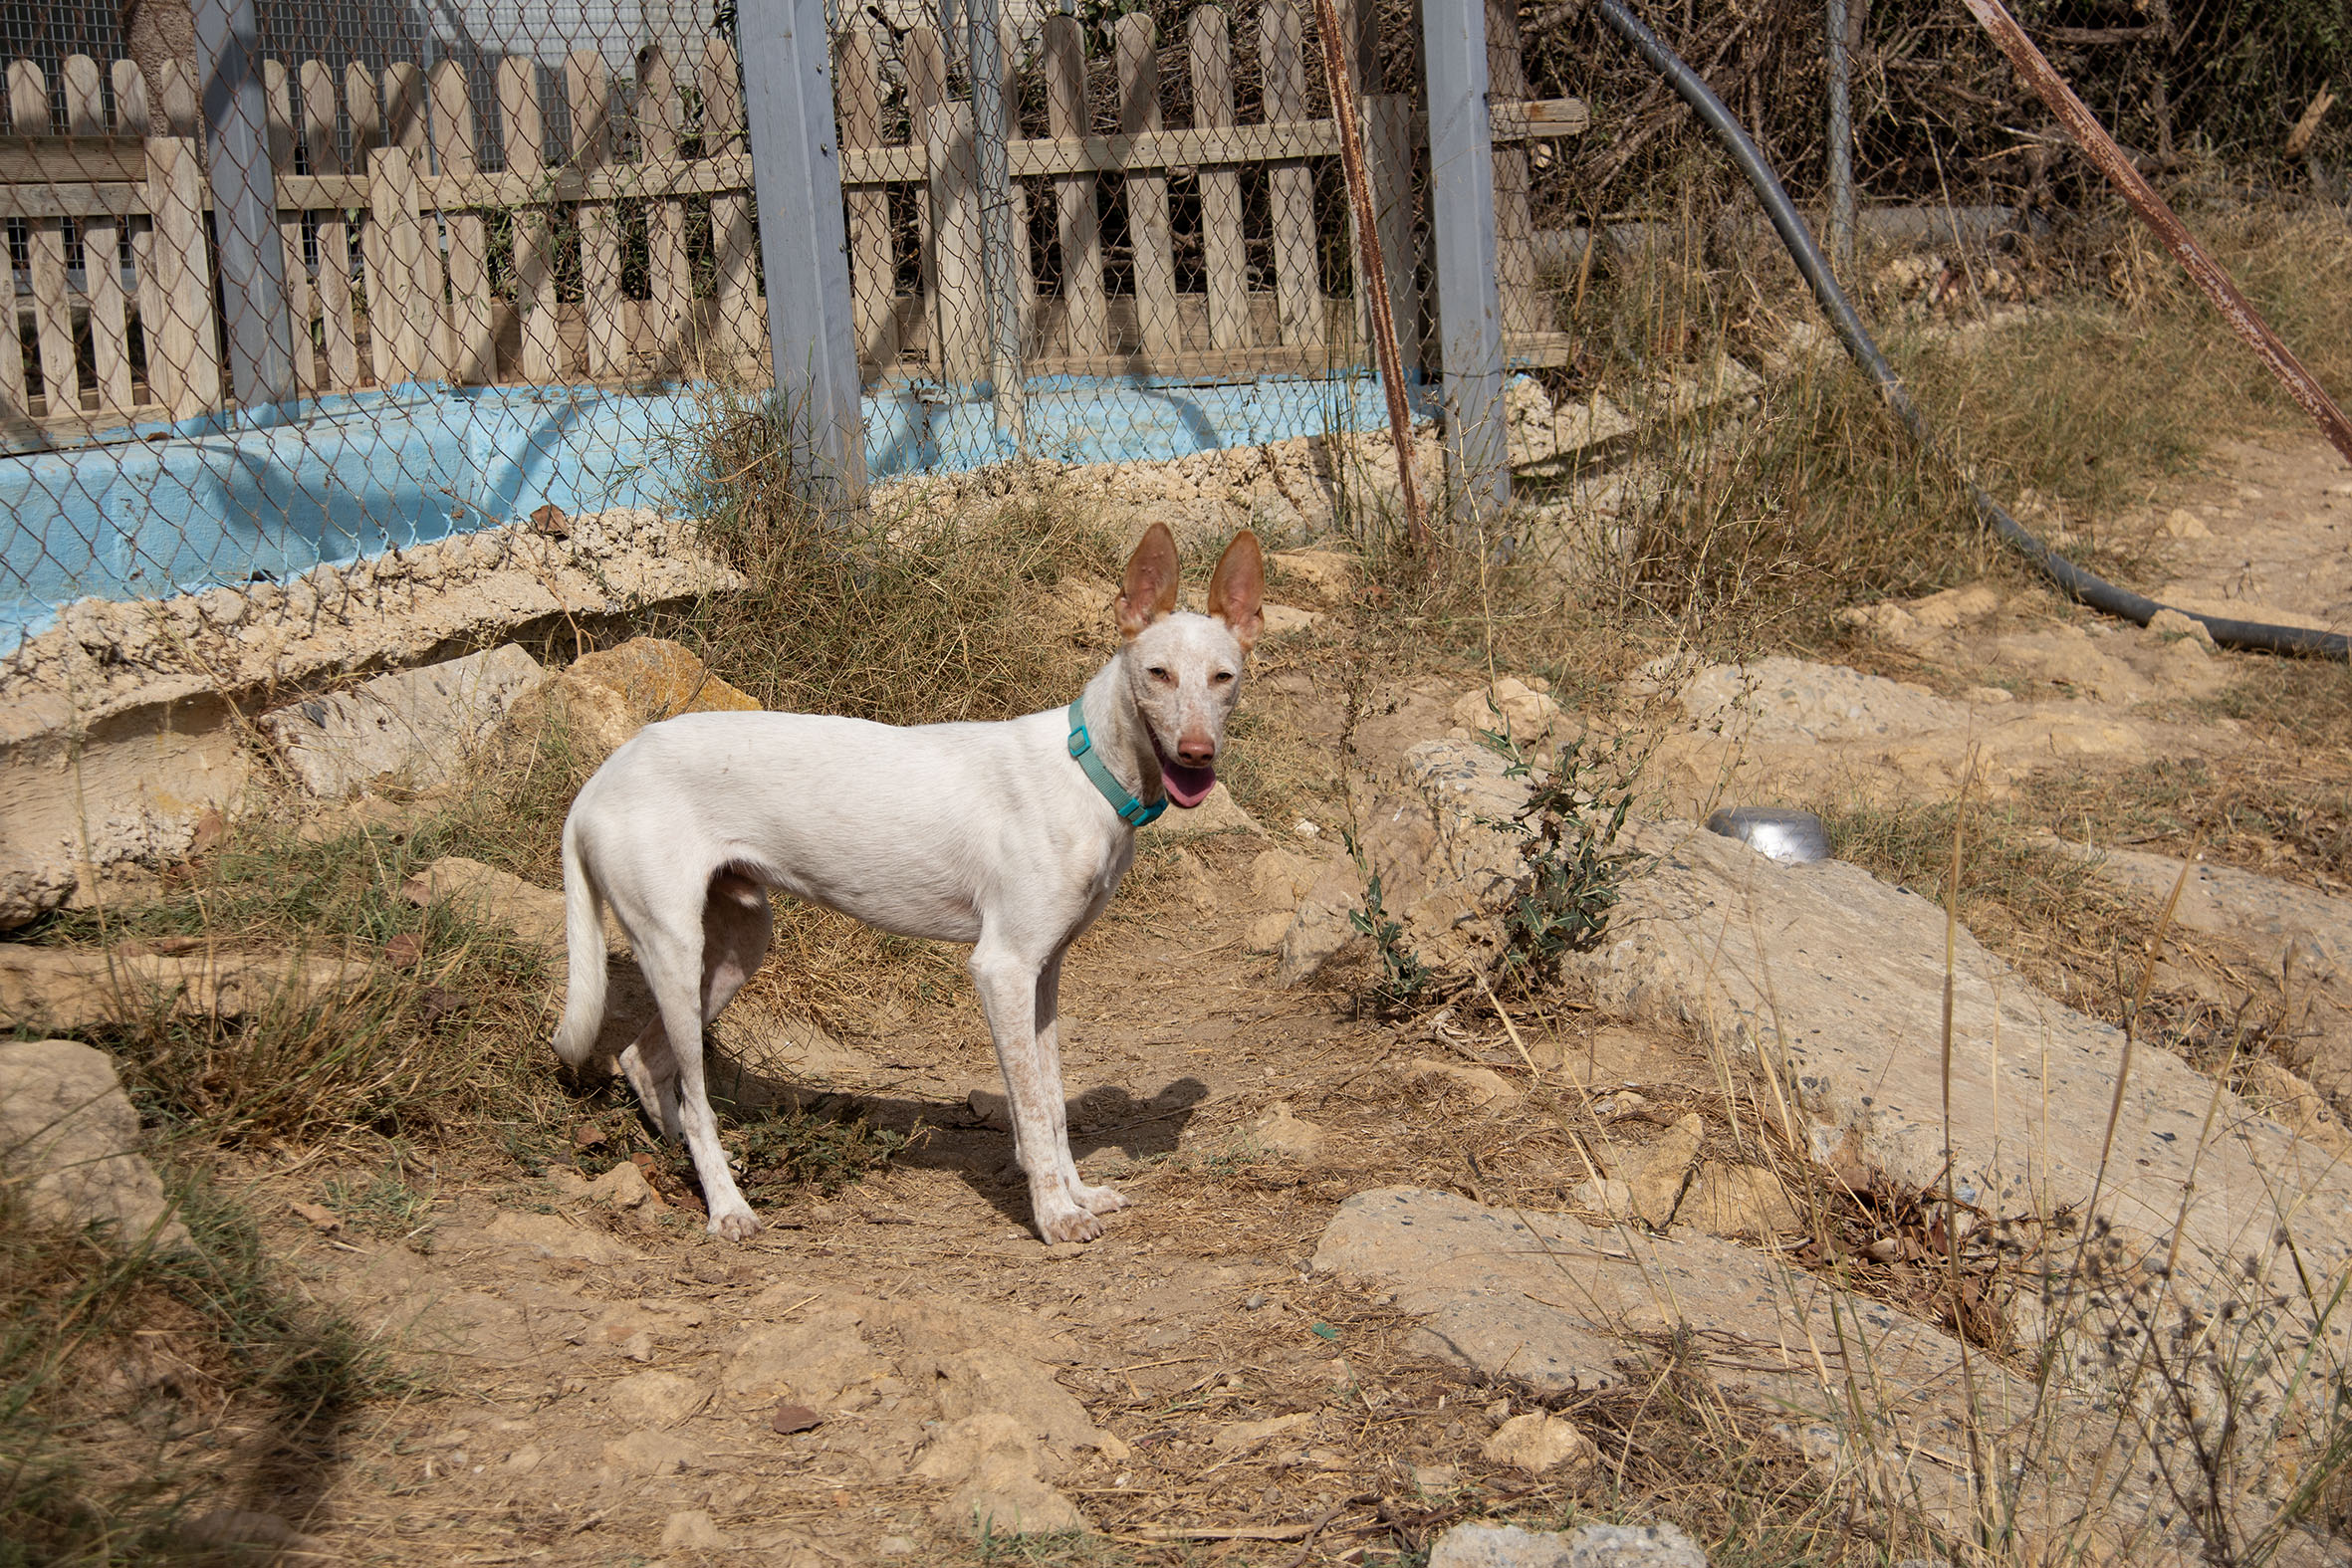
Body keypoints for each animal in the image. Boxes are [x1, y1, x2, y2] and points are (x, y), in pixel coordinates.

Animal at [552, 522, 1263, 1243]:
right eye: (1158, 674)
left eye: (1224, 678)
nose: (1198, 753)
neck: (1087, 771)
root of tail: (601, 777)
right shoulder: (1002, 967)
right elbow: (1034, 1113)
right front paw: (1054, 1215)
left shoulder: (1045, 971)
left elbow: (1055, 1101)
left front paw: (1078, 1193)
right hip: (673, 947)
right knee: (694, 1096)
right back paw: (726, 1206)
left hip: (736, 946)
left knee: (643, 1058)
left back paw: (688, 1163)